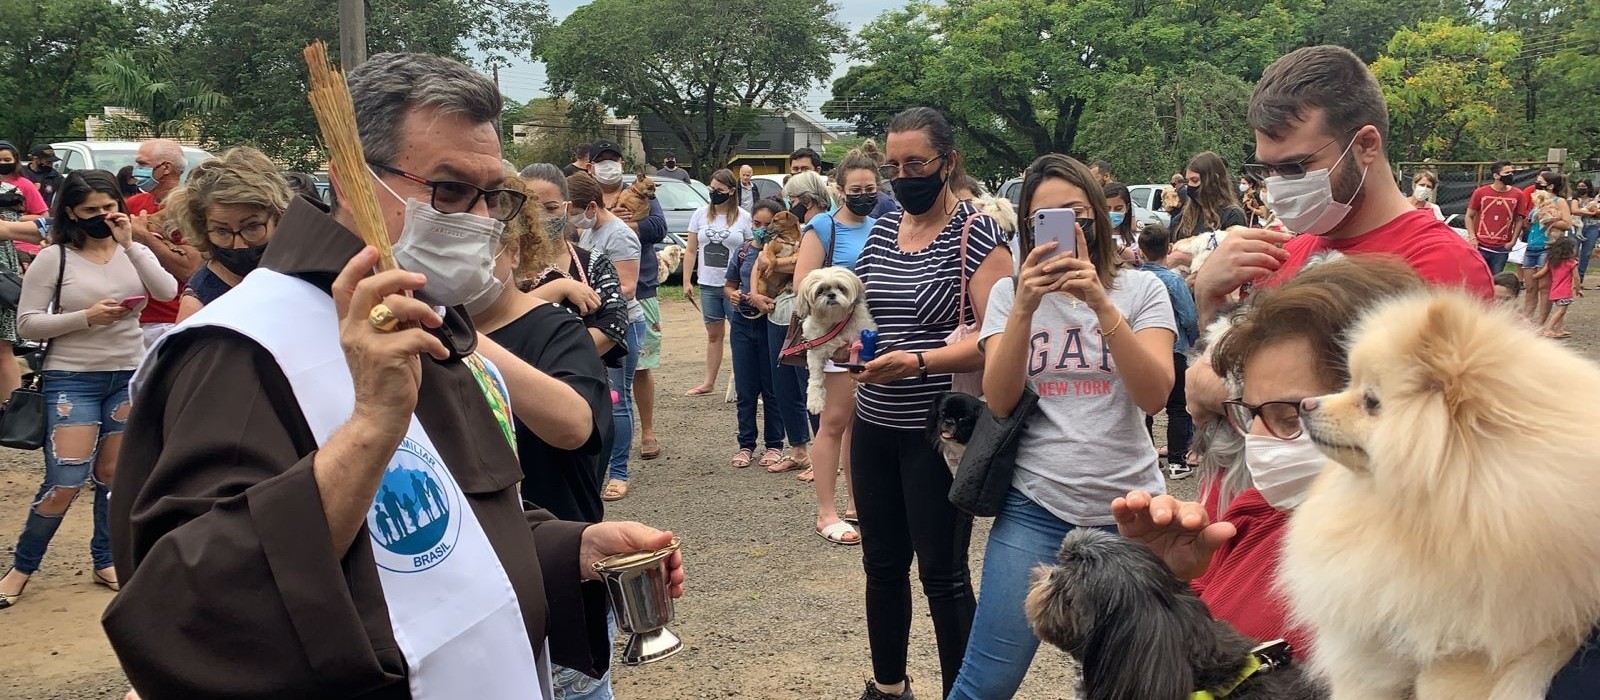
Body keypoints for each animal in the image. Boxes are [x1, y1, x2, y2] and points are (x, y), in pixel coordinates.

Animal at [796, 265, 876, 412]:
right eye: (820, 291)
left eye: (841, 287)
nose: (831, 295)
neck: (834, 322)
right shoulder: (815, 353)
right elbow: (816, 378)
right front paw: (815, 400)